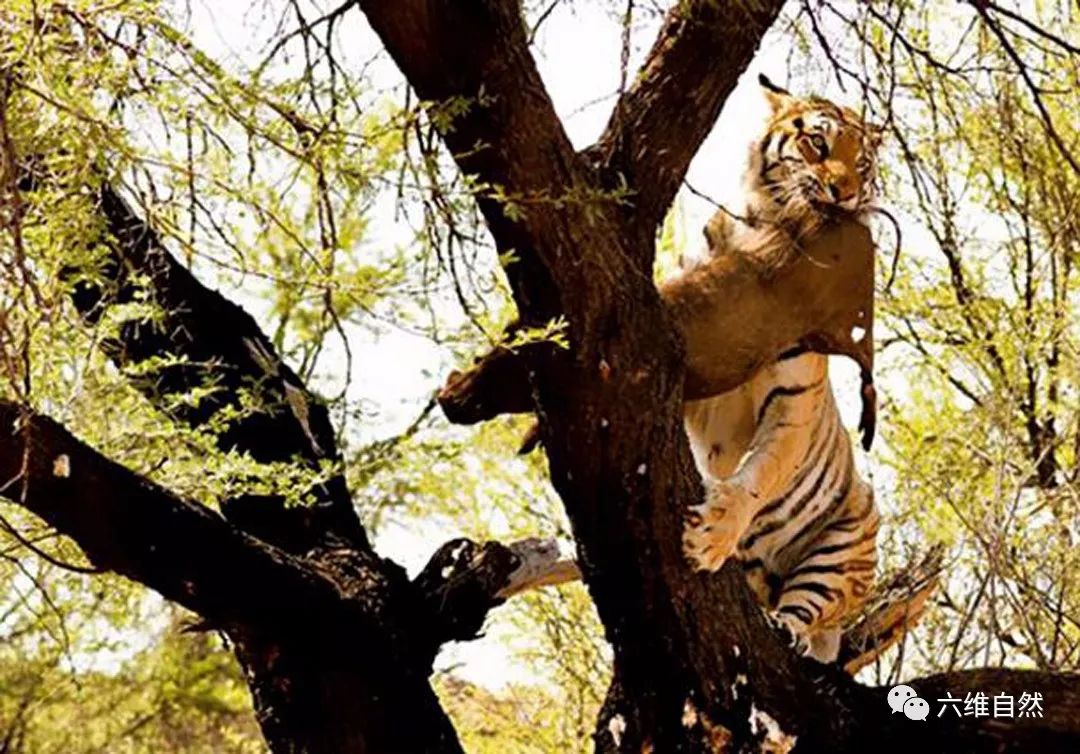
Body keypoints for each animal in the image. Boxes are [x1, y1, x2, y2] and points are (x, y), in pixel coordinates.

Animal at [682, 73, 885, 656]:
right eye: (818, 143)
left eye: (863, 163)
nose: (846, 193)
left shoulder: (793, 398)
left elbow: (761, 472)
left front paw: (713, 533)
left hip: (843, 549)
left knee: (805, 607)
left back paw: (785, 628)